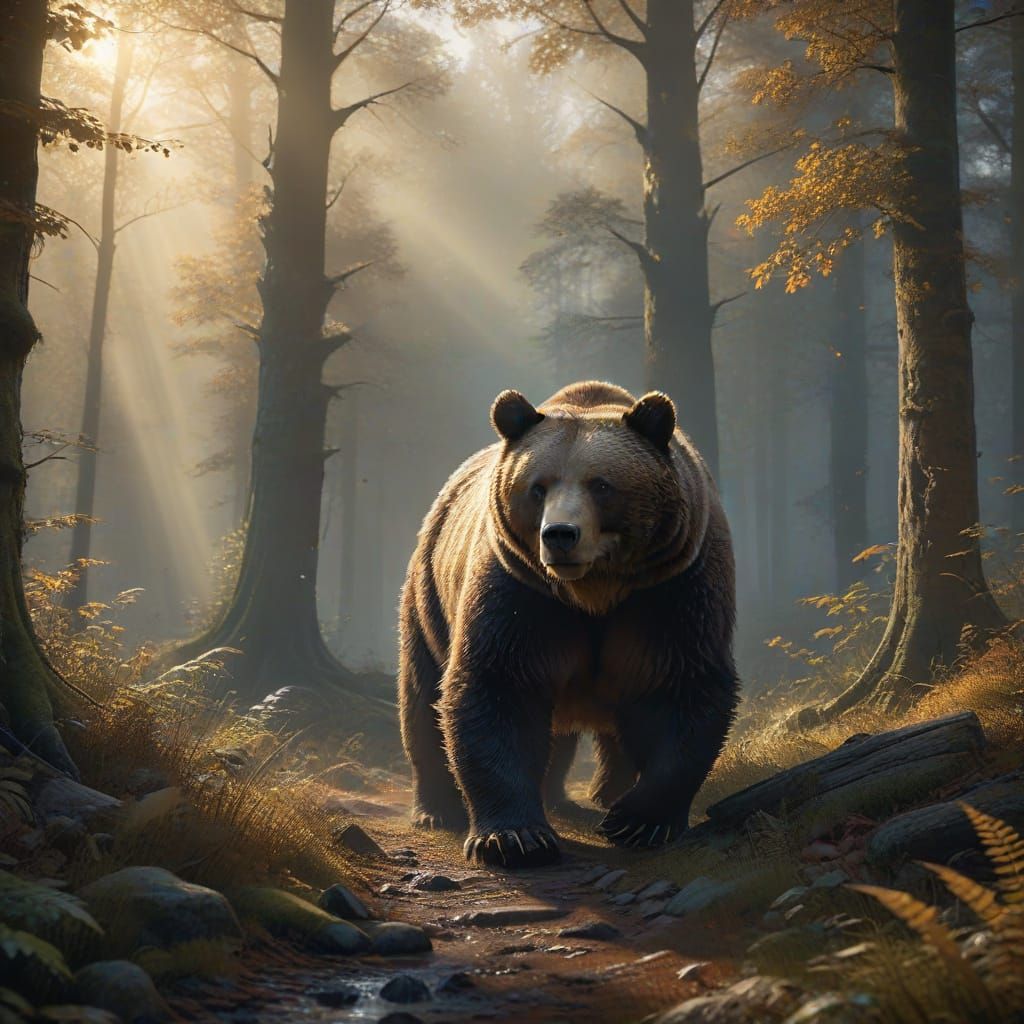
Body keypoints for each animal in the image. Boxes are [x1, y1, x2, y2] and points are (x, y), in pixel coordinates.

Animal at [398, 380, 738, 868]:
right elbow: (497, 687)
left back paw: (599, 792)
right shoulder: (522, 593)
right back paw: (437, 808)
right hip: (428, 599)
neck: (594, 592)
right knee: (422, 698)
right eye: (537, 487)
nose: (560, 534)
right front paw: (513, 839)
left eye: (602, 484)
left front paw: (636, 820)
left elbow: (683, 685)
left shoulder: (671, 590)